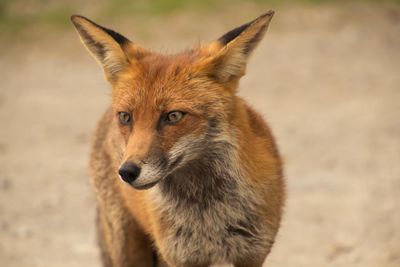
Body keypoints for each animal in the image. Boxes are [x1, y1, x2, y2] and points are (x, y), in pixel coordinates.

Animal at [71, 10, 284, 267]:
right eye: (125, 117)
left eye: (173, 116)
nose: (127, 172)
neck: (207, 210)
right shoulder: (181, 256)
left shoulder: (252, 254)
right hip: (129, 247)